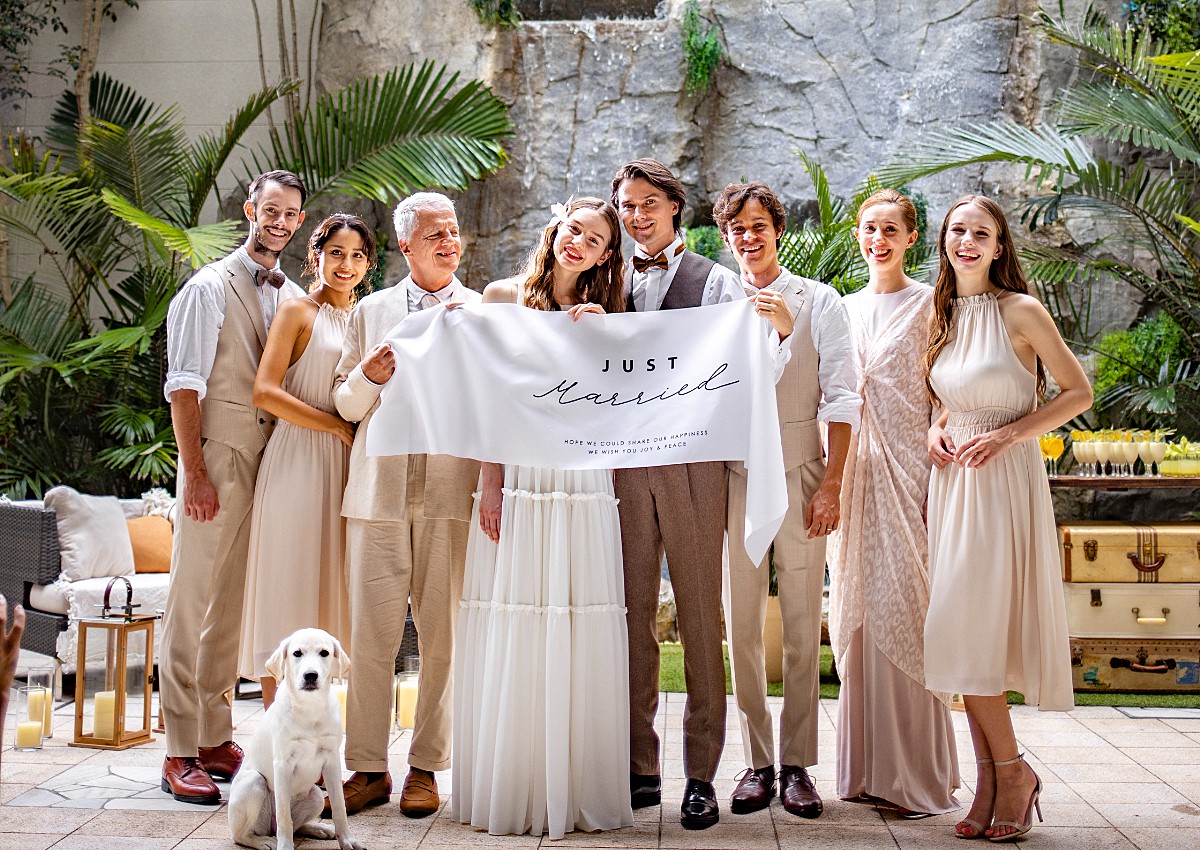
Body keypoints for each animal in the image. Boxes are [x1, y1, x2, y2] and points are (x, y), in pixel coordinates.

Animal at [229, 628, 364, 850]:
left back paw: (318, 828)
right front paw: (285, 846)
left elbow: (339, 807)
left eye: (324, 653)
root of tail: (269, 828)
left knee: (298, 827)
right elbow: (284, 816)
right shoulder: (283, 764)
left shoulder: (332, 760)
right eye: (297, 653)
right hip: (253, 782)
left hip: (316, 795)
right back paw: (264, 841)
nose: (310, 675)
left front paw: (347, 840)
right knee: (243, 835)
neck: (310, 708)